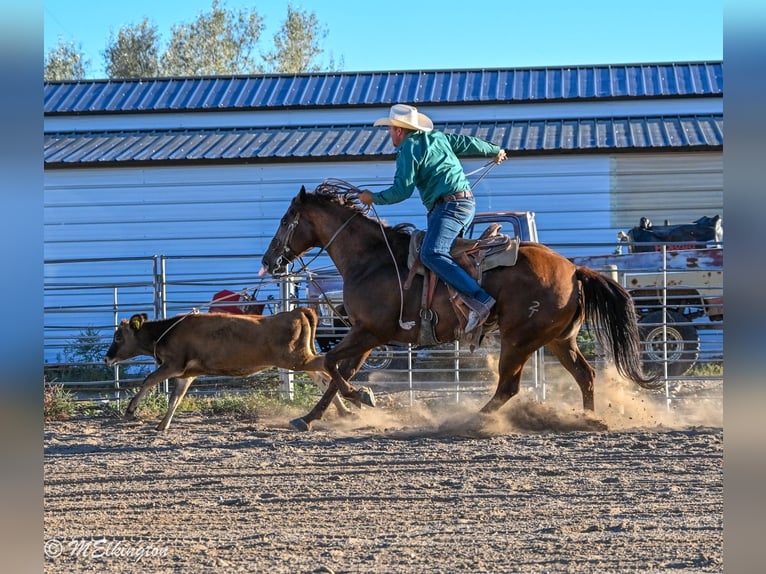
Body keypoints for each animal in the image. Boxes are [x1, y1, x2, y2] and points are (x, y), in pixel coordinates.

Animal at [261, 185, 661, 431]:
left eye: (285, 221)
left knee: (508, 387)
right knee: (585, 376)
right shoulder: (367, 336)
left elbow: (329, 363)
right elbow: (335, 371)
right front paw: (309, 417)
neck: (371, 259)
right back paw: (587, 419)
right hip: (559, 339)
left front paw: (362, 396)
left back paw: (469, 421)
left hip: (519, 340)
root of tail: (574, 268)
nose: (268, 261)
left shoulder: (368, 332)